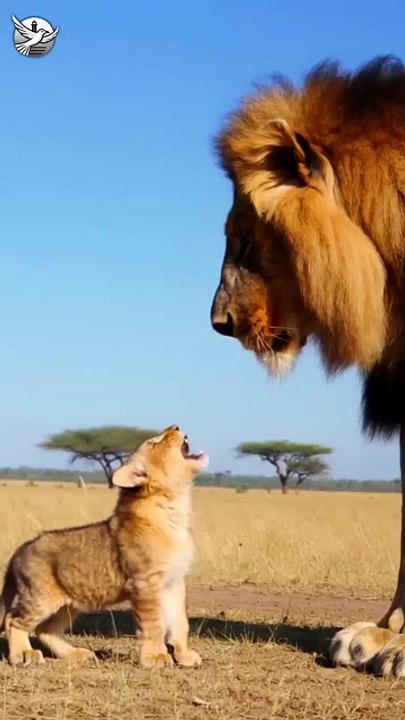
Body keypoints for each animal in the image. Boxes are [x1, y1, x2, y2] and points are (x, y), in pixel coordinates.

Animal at [0, 425, 208, 668]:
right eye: (155, 442)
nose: (175, 426)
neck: (174, 507)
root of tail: (21, 548)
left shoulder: (174, 582)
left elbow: (180, 622)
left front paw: (184, 656)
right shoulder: (145, 583)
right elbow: (154, 624)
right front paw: (155, 657)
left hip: (69, 603)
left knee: (45, 628)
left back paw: (76, 654)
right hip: (40, 598)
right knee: (13, 619)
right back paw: (23, 654)